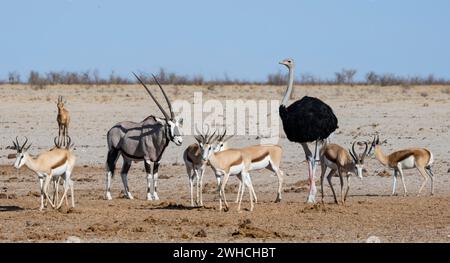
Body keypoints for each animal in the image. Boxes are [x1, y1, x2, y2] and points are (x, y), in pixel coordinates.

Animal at [105, 73, 183, 201]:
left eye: (178, 125)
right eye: (168, 125)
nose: (179, 141)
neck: (154, 136)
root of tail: (111, 129)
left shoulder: (157, 160)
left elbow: (155, 176)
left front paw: (156, 196)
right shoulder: (147, 159)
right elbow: (148, 176)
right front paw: (148, 197)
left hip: (127, 157)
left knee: (123, 173)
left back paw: (129, 195)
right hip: (114, 152)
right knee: (109, 170)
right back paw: (108, 195)